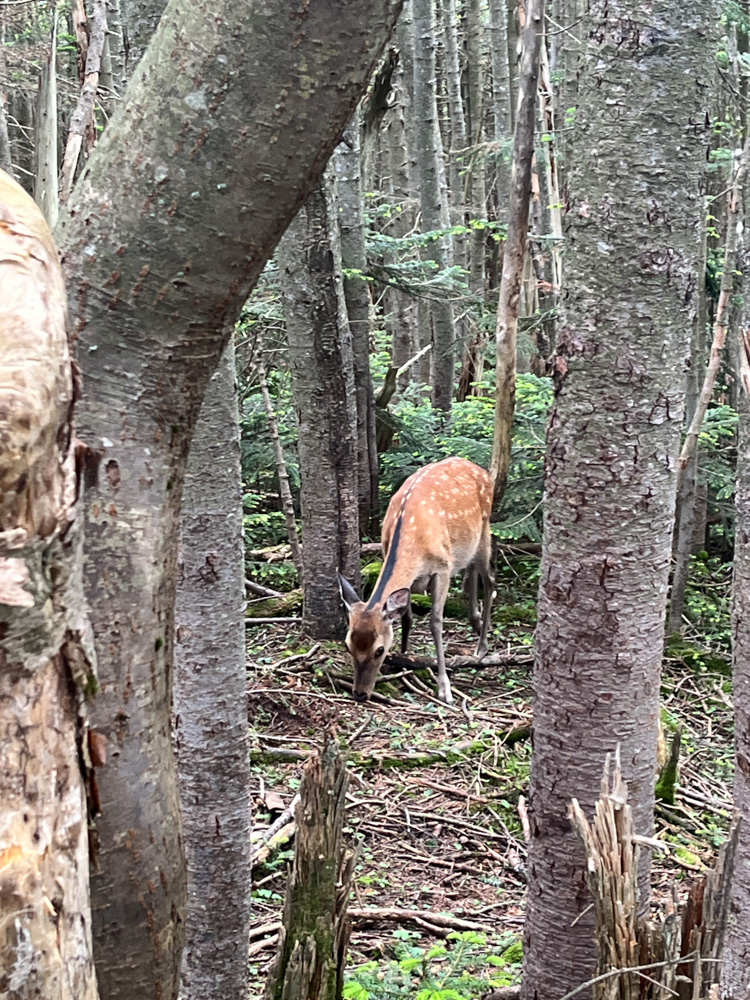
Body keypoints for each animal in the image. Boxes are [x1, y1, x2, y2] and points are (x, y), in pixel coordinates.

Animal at [339, 456, 495, 706]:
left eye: (379, 650)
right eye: (348, 645)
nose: (360, 694)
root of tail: (481, 470)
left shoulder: (442, 568)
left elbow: (435, 622)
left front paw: (444, 689)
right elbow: (407, 616)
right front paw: (404, 656)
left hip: (484, 529)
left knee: (490, 580)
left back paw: (481, 646)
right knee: (470, 570)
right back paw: (476, 620)